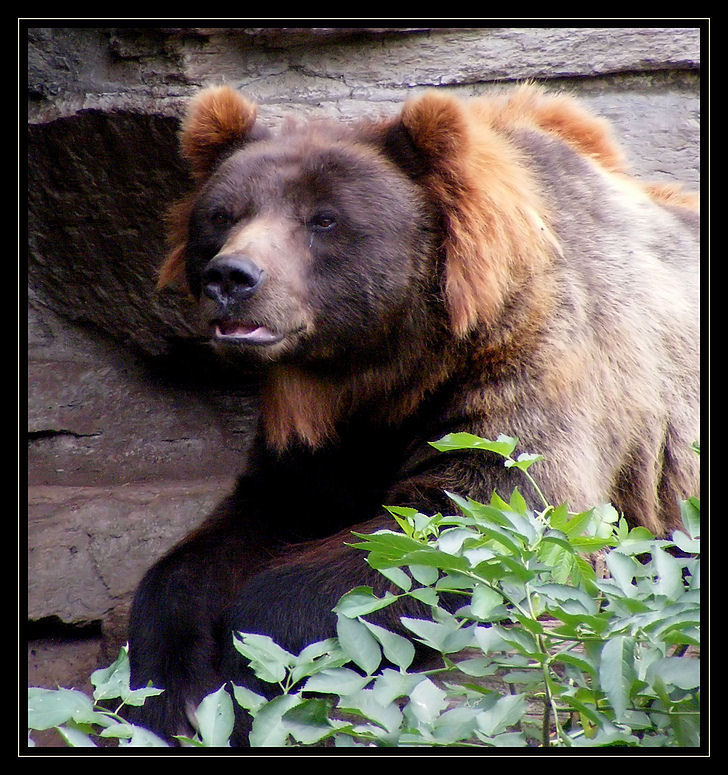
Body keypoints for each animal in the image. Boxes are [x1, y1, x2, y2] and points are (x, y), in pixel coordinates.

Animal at [126, 85, 700, 744]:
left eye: (324, 219)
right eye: (223, 215)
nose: (233, 276)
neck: (389, 367)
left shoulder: (535, 367)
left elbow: (474, 513)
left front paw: (249, 665)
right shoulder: (315, 447)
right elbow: (235, 532)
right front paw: (168, 686)